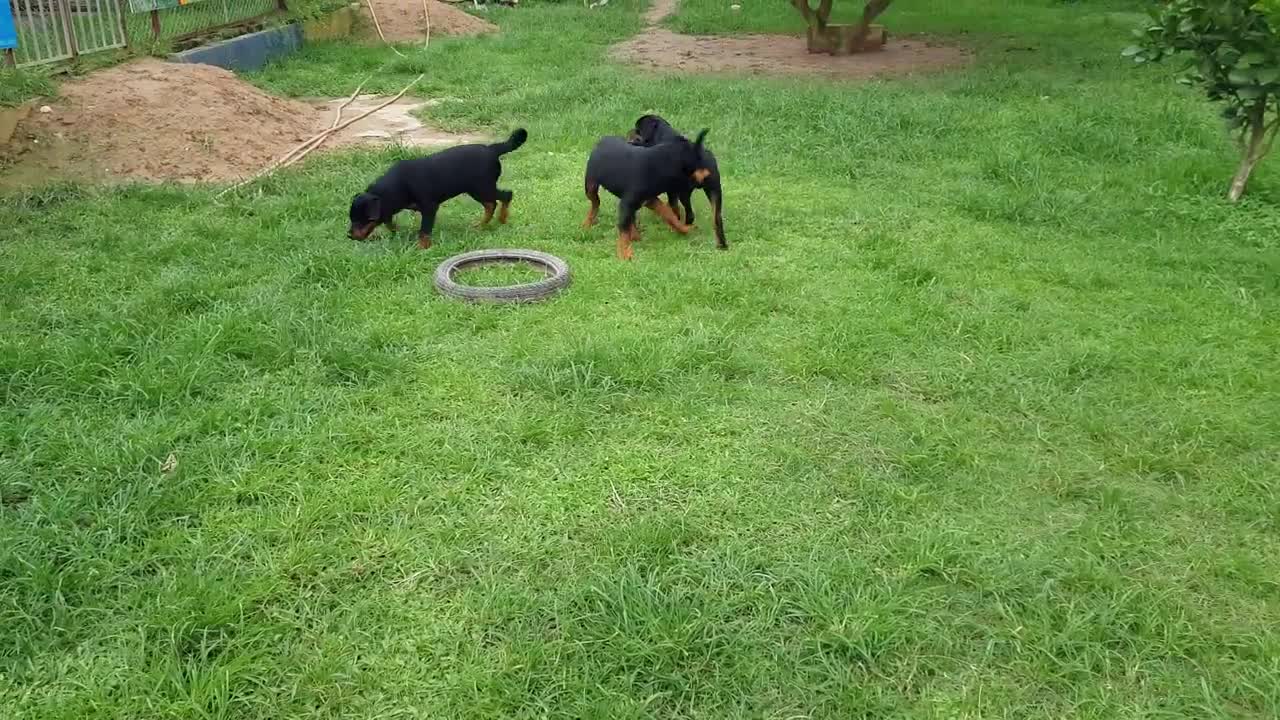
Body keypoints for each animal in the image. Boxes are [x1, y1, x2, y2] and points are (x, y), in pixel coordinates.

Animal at [348, 128, 527, 249]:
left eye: (361, 219)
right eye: (351, 219)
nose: (349, 235)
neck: (398, 185)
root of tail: (492, 149)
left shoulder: (429, 207)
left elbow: (424, 231)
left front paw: (422, 247)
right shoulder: (390, 207)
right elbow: (389, 222)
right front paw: (398, 233)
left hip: (483, 188)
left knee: (506, 196)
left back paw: (502, 219)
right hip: (476, 190)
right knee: (491, 204)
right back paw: (480, 225)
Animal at [586, 127, 716, 258]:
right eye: (700, 159)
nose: (711, 174)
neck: (659, 165)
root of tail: (603, 139)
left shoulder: (651, 200)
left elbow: (669, 215)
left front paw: (685, 229)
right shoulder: (627, 203)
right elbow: (623, 231)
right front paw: (625, 253)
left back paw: (635, 235)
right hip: (590, 186)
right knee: (595, 203)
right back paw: (587, 224)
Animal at [627, 111, 727, 245]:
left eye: (638, 129)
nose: (630, 131)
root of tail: (697, 155)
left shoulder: (672, 190)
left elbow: (674, 208)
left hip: (684, 191)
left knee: (689, 214)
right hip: (714, 191)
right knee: (717, 217)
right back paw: (721, 242)